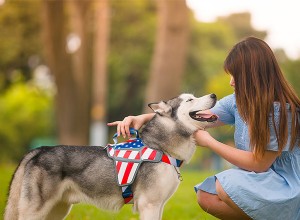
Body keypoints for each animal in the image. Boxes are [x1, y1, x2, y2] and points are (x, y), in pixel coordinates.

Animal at [4, 93, 218, 220]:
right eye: (190, 100)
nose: (214, 95)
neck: (161, 148)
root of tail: (38, 150)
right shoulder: (149, 204)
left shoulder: (159, 206)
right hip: (35, 211)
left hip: (57, 210)